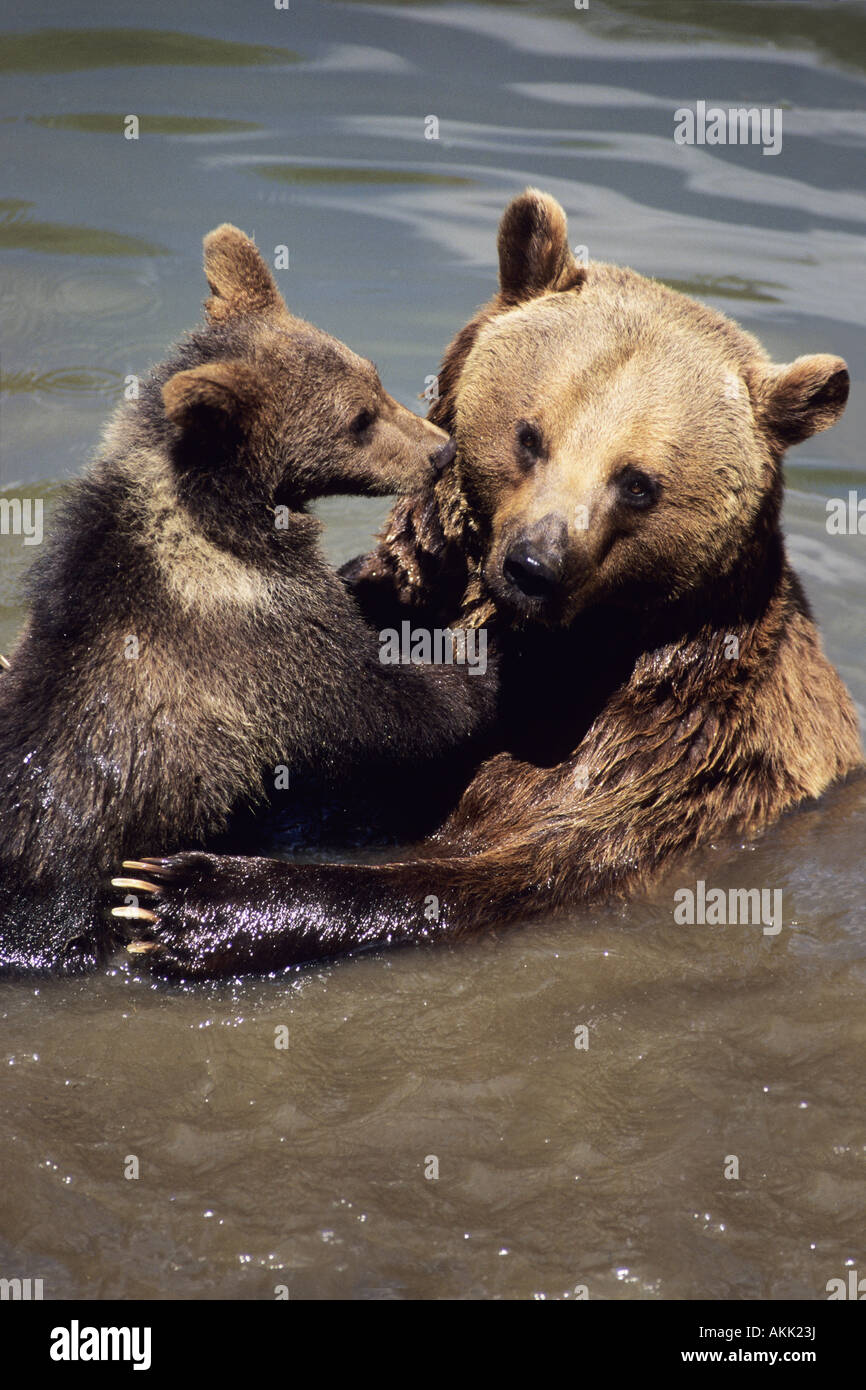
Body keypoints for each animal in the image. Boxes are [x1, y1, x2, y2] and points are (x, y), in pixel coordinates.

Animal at [0, 223, 499, 976]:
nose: (440, 450)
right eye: (358, 420)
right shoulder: (254, 629)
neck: (222, 515)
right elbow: (376, 702)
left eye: (374, 380)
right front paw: (483, 658)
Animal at [119, 189, 863, 980]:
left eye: (637, 482)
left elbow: (502, 861)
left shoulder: (665, 757)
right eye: (530, 435)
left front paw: (187, 896)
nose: (534, 566)